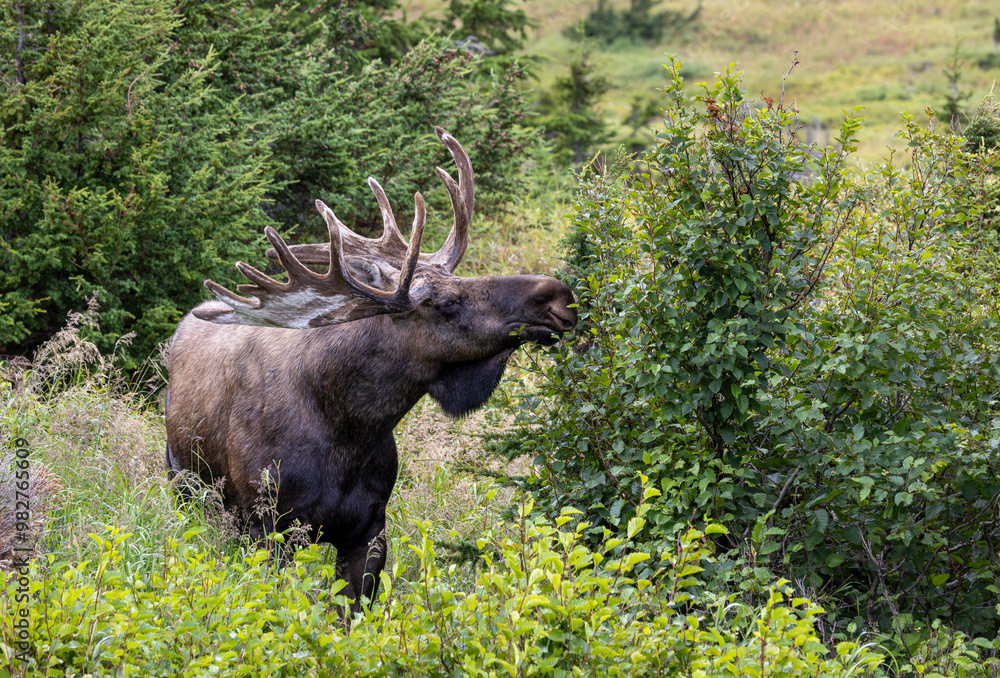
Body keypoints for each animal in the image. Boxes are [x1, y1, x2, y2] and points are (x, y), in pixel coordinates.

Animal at [164, 128, 577, 614]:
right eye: (447, 302)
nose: (560, 296)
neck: (351, 427)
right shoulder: (270, 527)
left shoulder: (370, 528)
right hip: (187, 492)